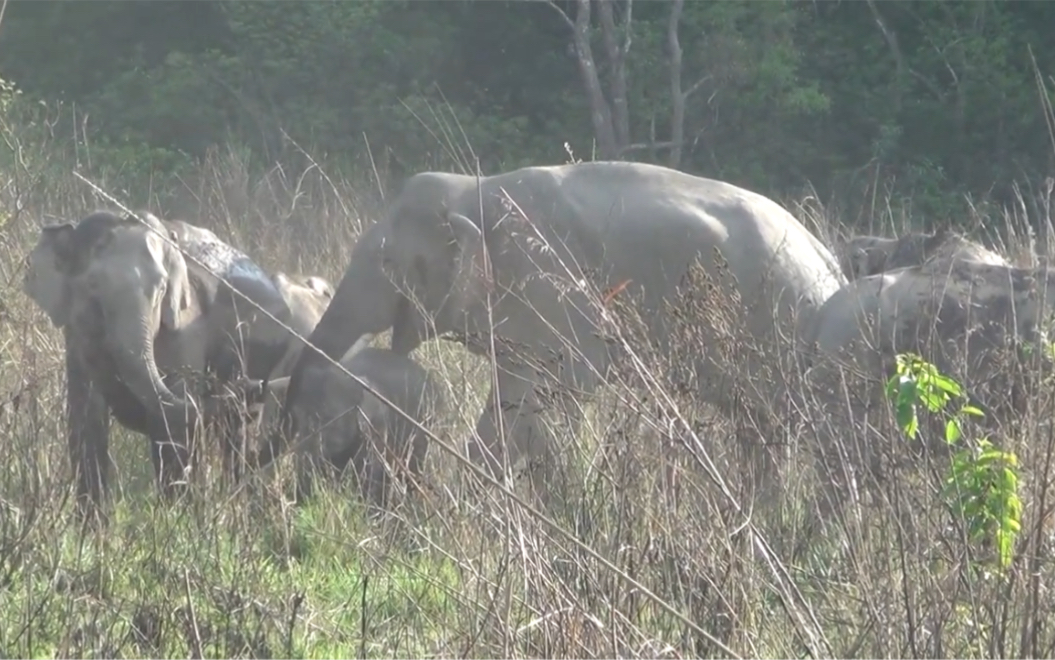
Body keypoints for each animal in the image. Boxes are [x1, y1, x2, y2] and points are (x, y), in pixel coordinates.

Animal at [21, 209, 329, 514]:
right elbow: (86, 420)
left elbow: (169, 422)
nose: (245, 381)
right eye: (92, 286)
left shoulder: (186, 328)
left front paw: (173, 515)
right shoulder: (74, 338)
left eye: (160, 289)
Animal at [265, 160, 848, 497]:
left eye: (387, 264)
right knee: (761, 431)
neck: (474, 191)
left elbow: (545, 397)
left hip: (781, 329)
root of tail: (828, 260)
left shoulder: (554, 289)